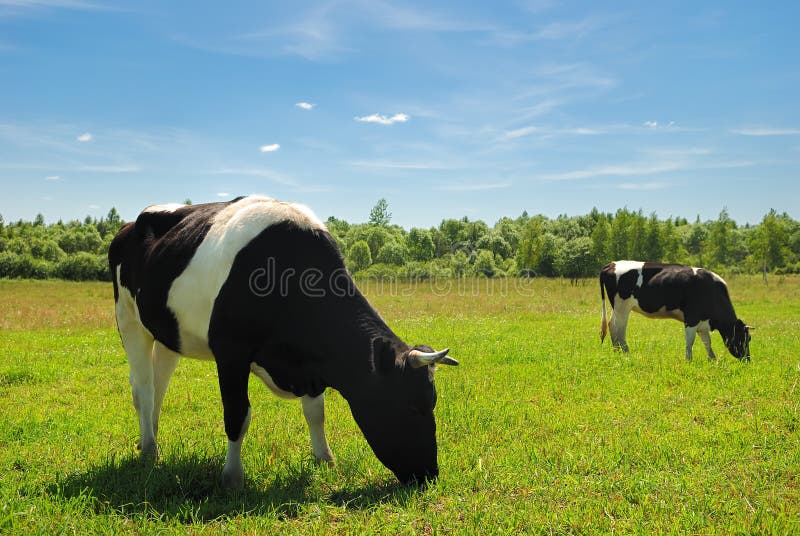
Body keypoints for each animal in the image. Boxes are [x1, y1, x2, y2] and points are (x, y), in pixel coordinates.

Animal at [108, 195, 458, 489]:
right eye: (412, 406)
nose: (430, 474)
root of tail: (128, 225)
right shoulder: (231, 351)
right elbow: (238, 414)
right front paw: (232, 477)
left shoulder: (313, 362)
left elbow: (316, 413)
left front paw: (324, 460)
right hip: (128, 318)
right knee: (144, 388)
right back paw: (149, 450)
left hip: (169, 333)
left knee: (159, 386)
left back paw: (150, 439)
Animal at [599, 260, 752, 360]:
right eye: (745, 338)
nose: (747, 359)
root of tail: (612, 264)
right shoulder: (691, 318)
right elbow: (690, 341)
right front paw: (689, 360)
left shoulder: (702, 322)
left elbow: (707, 342)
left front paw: (712, 359)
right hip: (622, 306)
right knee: (617, 327)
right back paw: (625, 352)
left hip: (619, 307)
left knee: (613, 326)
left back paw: (618, 352)